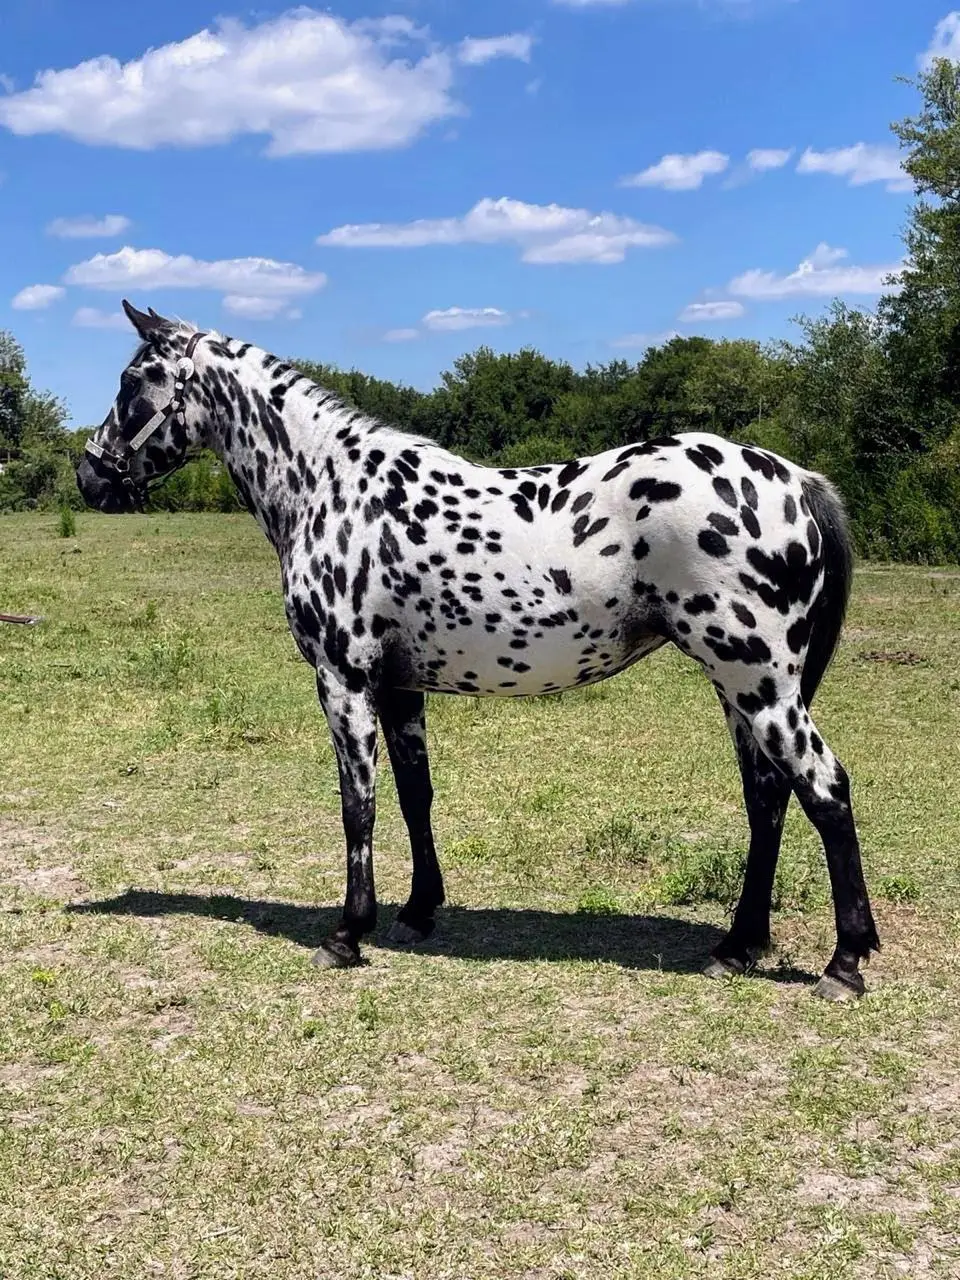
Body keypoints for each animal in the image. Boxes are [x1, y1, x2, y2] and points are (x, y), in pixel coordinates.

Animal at [76, 302, 879, 1000]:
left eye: (133, 380)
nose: (90, 475)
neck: (327, 487)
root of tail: (796, 481)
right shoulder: (399, 686)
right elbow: (414, 794)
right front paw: (417, 911)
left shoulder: (343, 679)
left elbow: (358, 804)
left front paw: (347, 932)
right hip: (739, 687)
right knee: (768, 797)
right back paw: (737, 946)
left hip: (758, 683)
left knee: (824, 788)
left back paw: (843, 965)